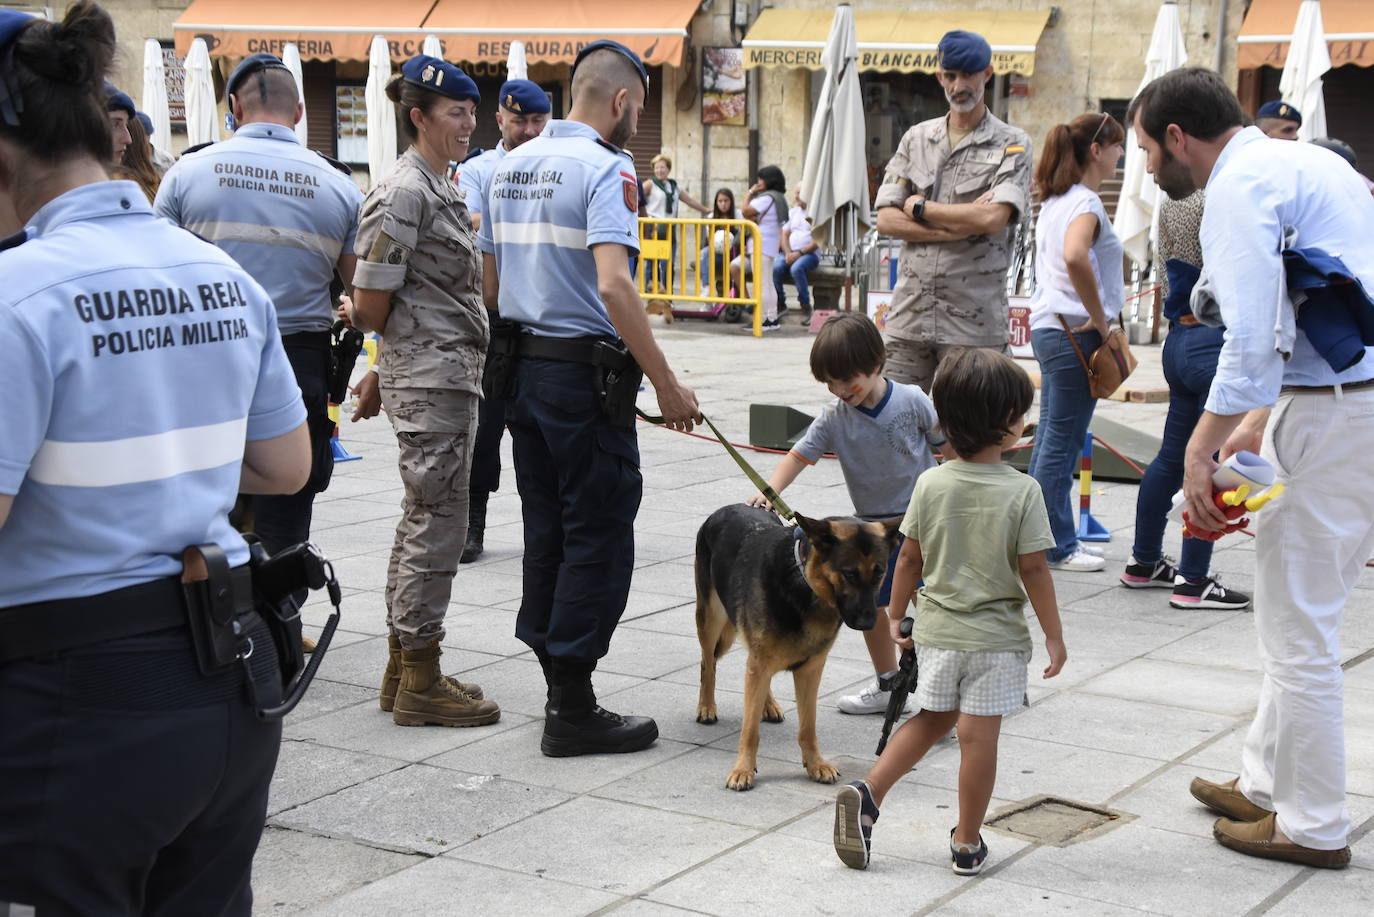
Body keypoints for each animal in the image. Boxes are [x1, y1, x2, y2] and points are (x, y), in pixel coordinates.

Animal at [697, 505, 901, 791]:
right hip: (710, 620)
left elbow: (808, 727)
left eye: (880, 572)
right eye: (849, 573)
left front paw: (815, 764)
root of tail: (728, 508)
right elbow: (750, 730)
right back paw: (706, 707)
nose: (868, 623)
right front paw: (743, 769)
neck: (804, 584)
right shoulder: (761, 661)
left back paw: (768, 705)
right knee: (708, 664)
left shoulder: (810, 671)